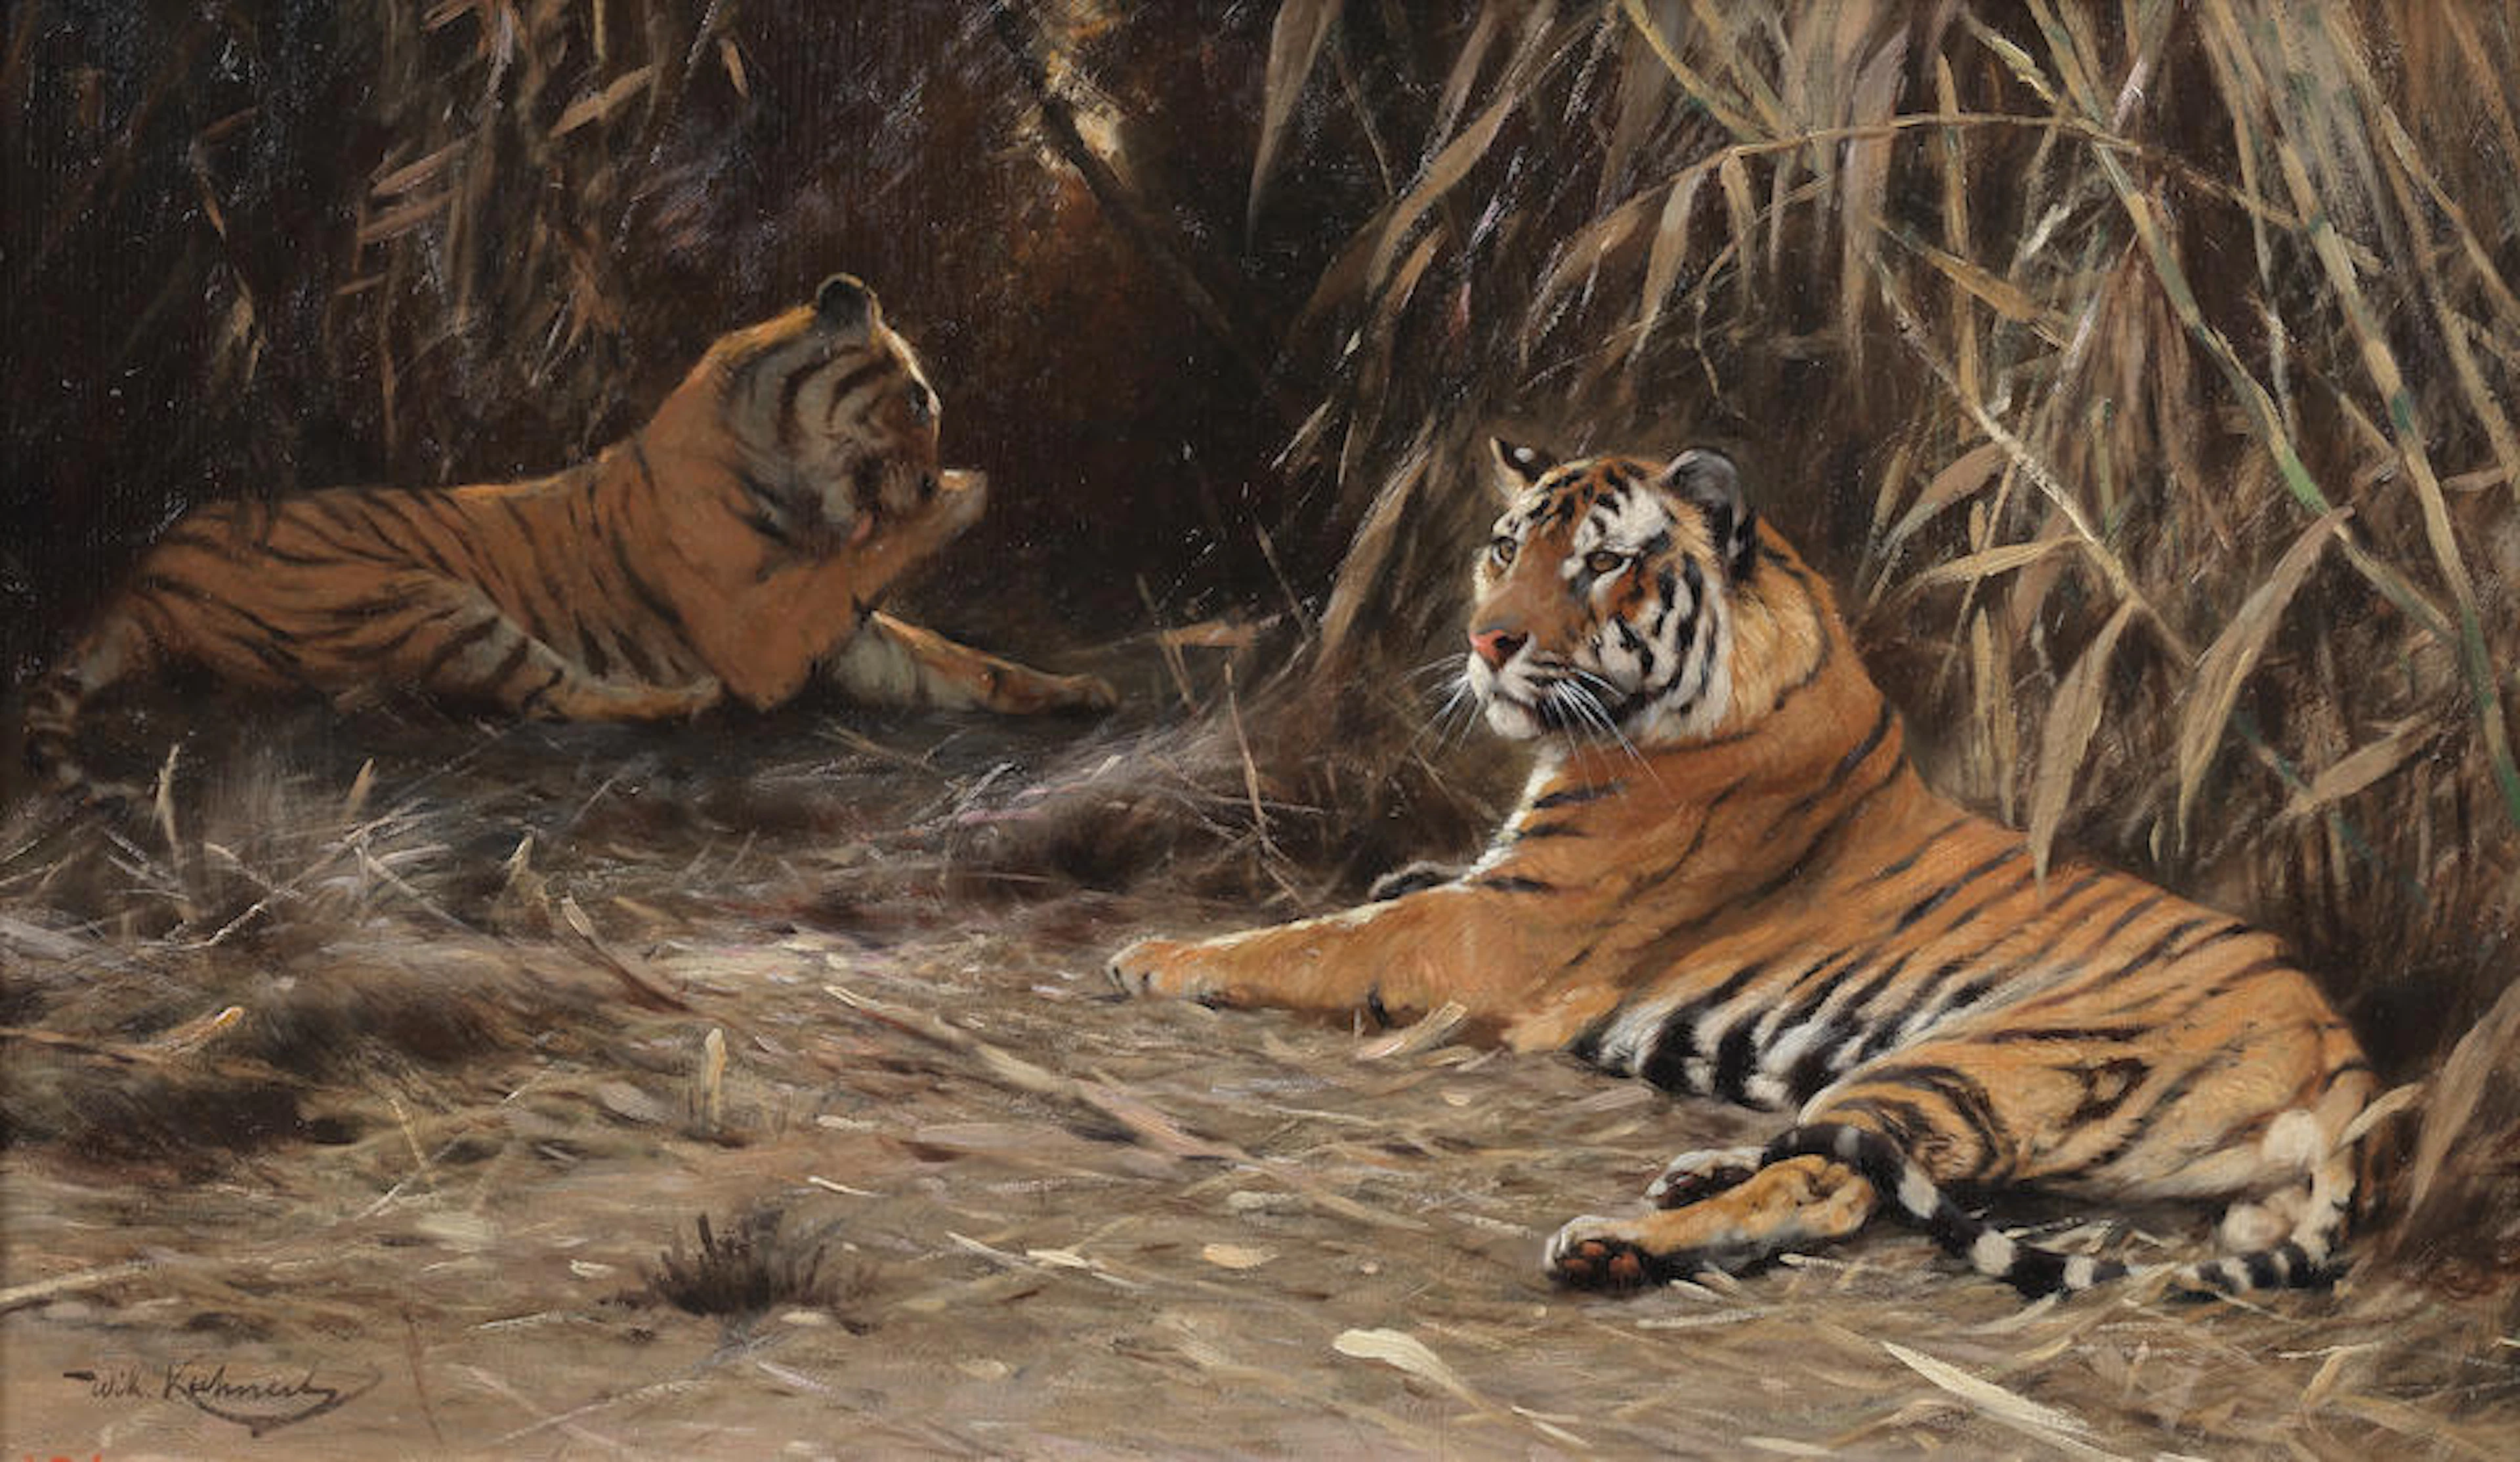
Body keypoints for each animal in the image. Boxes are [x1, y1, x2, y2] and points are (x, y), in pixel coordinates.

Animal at [24, 274, 1116, 798]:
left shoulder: (845, 637)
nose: (930, 471)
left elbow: (965, 663)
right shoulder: (765, 633)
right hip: (424, 604)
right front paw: (962, 497)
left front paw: (1076, 690)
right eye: (918, 399)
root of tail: (147, 566)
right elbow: (878, 563)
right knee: (557, 695)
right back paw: (679, 702)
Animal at [1112, 440, 2385, 1299]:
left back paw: (1621, 1240)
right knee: (1841, 1152)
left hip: (1974, 1058)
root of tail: (2350, 1062)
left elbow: (1322, 939)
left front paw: (1156, 956)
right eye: (1503, 546)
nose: (1486, 642)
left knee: (1833, 1185)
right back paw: (1691, 1173)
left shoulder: (1502, 933)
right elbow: (1386, 894)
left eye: (1603, 562)